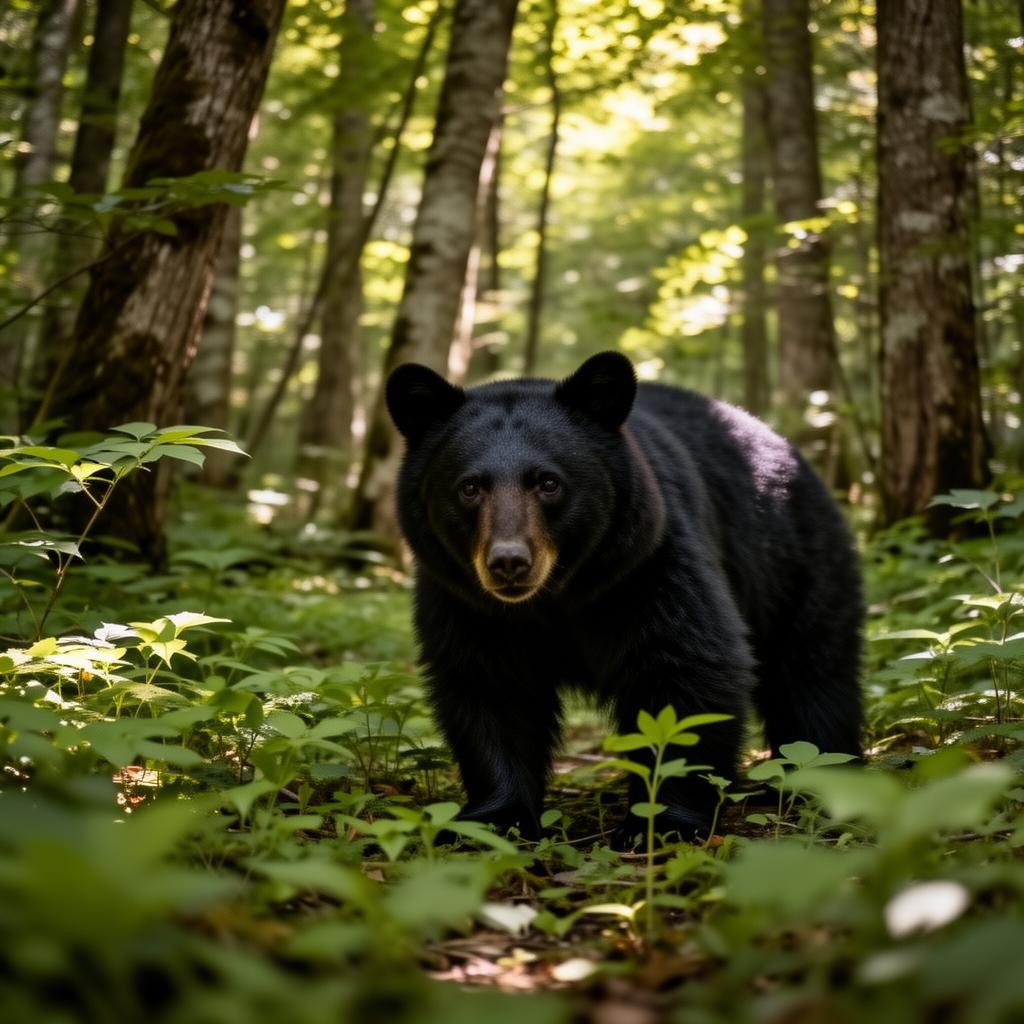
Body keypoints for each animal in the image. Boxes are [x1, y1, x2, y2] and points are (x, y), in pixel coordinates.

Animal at [386, 351, 862, 845]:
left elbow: (683, 672)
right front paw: (495, 818)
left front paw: (662, 823)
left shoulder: (648, 566)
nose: (509, 562)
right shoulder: (466, 603)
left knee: (813, 673)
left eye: (548, 482)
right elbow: (489, 685)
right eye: (470, 487)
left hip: (793, 562)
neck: (556, 598)